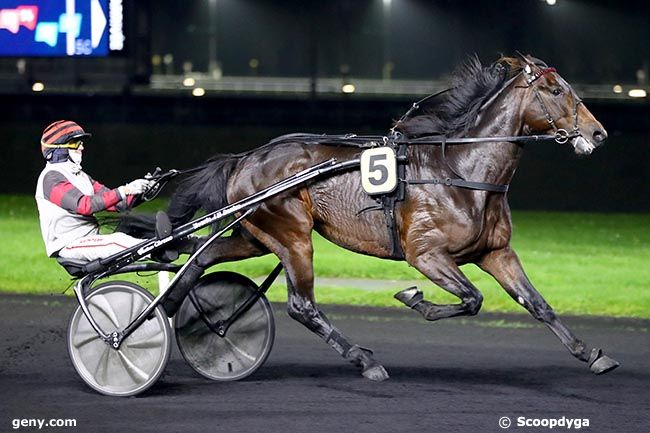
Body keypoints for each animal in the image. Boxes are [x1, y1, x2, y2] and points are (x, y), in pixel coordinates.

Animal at [119, 52, 616, 380]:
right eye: (555, 90)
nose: (598, 134)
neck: (461, 171)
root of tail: (245, 158)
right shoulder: (426, 254)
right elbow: (471, 298)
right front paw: (414, 298)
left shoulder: (496, 252)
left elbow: (537, 303)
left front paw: (591, 354)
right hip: (293, 236)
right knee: (302, 305)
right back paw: (364, 359)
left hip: (256, 236)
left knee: (200, 260)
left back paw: (174, 326)